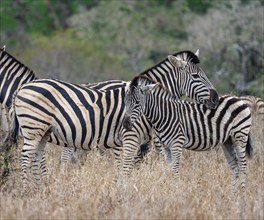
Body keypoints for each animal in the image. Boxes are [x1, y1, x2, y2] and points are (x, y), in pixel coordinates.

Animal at [10, 49, 219, 186]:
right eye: (196, 76)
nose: (216, 98)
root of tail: (22, 88)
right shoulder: (130, 137)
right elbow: (125, 168)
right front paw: (123, 192)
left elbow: (126, 167)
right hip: (33, 130)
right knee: (25, 159)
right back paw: (27, 190)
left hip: (42, 132)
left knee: (36, 158)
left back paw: (41, 188)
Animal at [122, 76, 253, 194]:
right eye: (125, 102)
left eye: (137, 102)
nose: (125, 124)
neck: (163, 115)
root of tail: (238, 99)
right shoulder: (166, 147)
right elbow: (170, 169)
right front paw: (170, 191)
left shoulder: (176, 144)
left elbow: (175, 170)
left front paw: (175, 193)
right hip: (227, 141)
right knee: (235, 167)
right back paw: (233, 194)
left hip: (240, 135)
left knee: (243, 166)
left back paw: (242, 194)